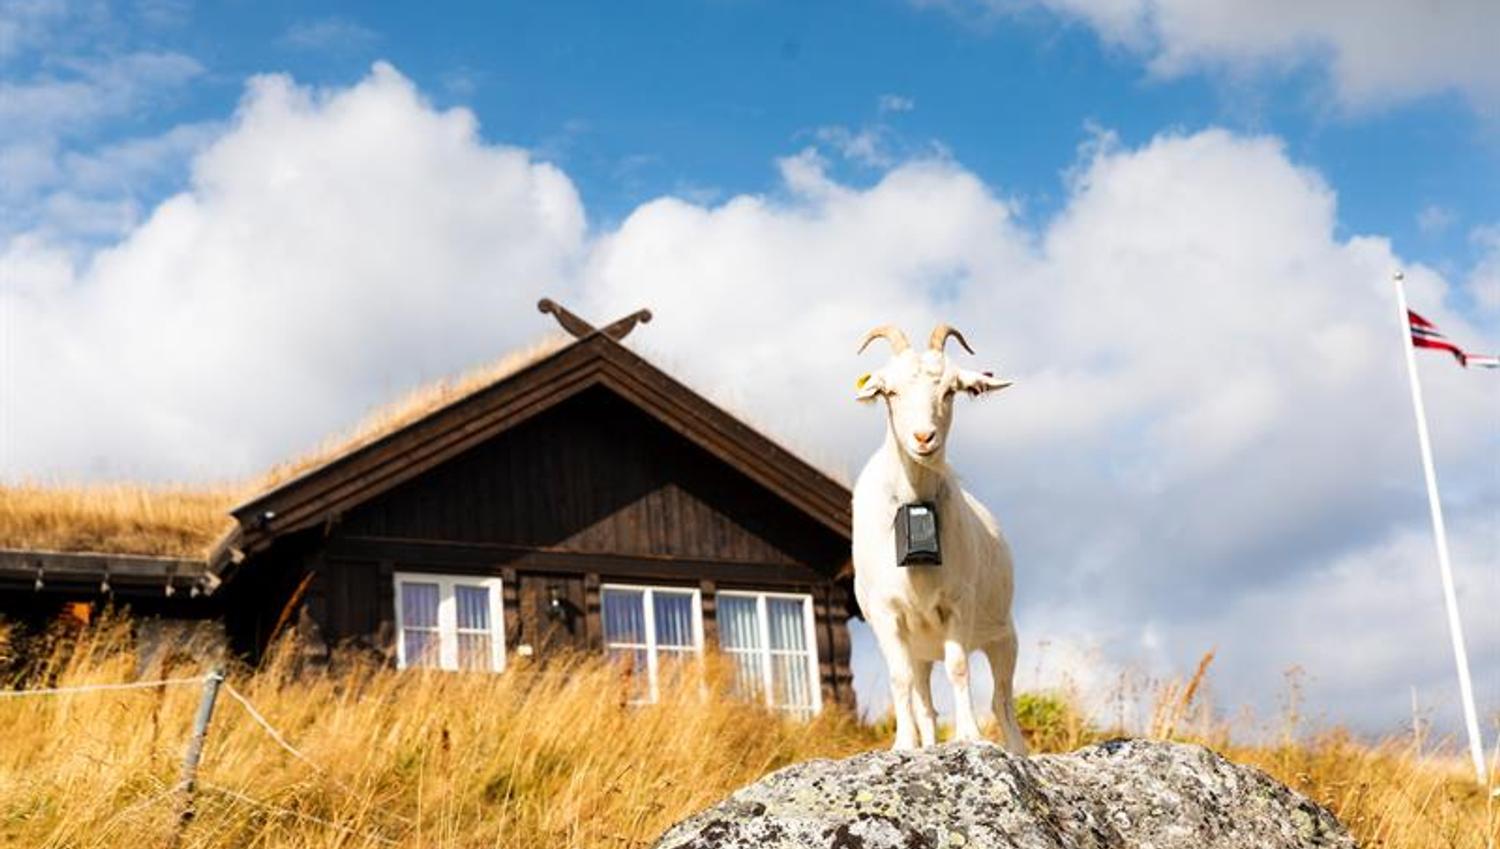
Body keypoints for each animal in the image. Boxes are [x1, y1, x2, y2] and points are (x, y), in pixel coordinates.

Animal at [851, 323, 1026, 753]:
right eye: (889, 392)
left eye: (950, 391)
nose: (923, 437)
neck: (914, 504)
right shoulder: (887, 614)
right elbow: (900, 680)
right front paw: (903, 745)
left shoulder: (957, 605)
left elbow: (959, 667)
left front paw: (969, 736)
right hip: (920, 649)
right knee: (924, 700)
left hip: (1003, 636)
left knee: (1002, 702)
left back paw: (1017, 751)